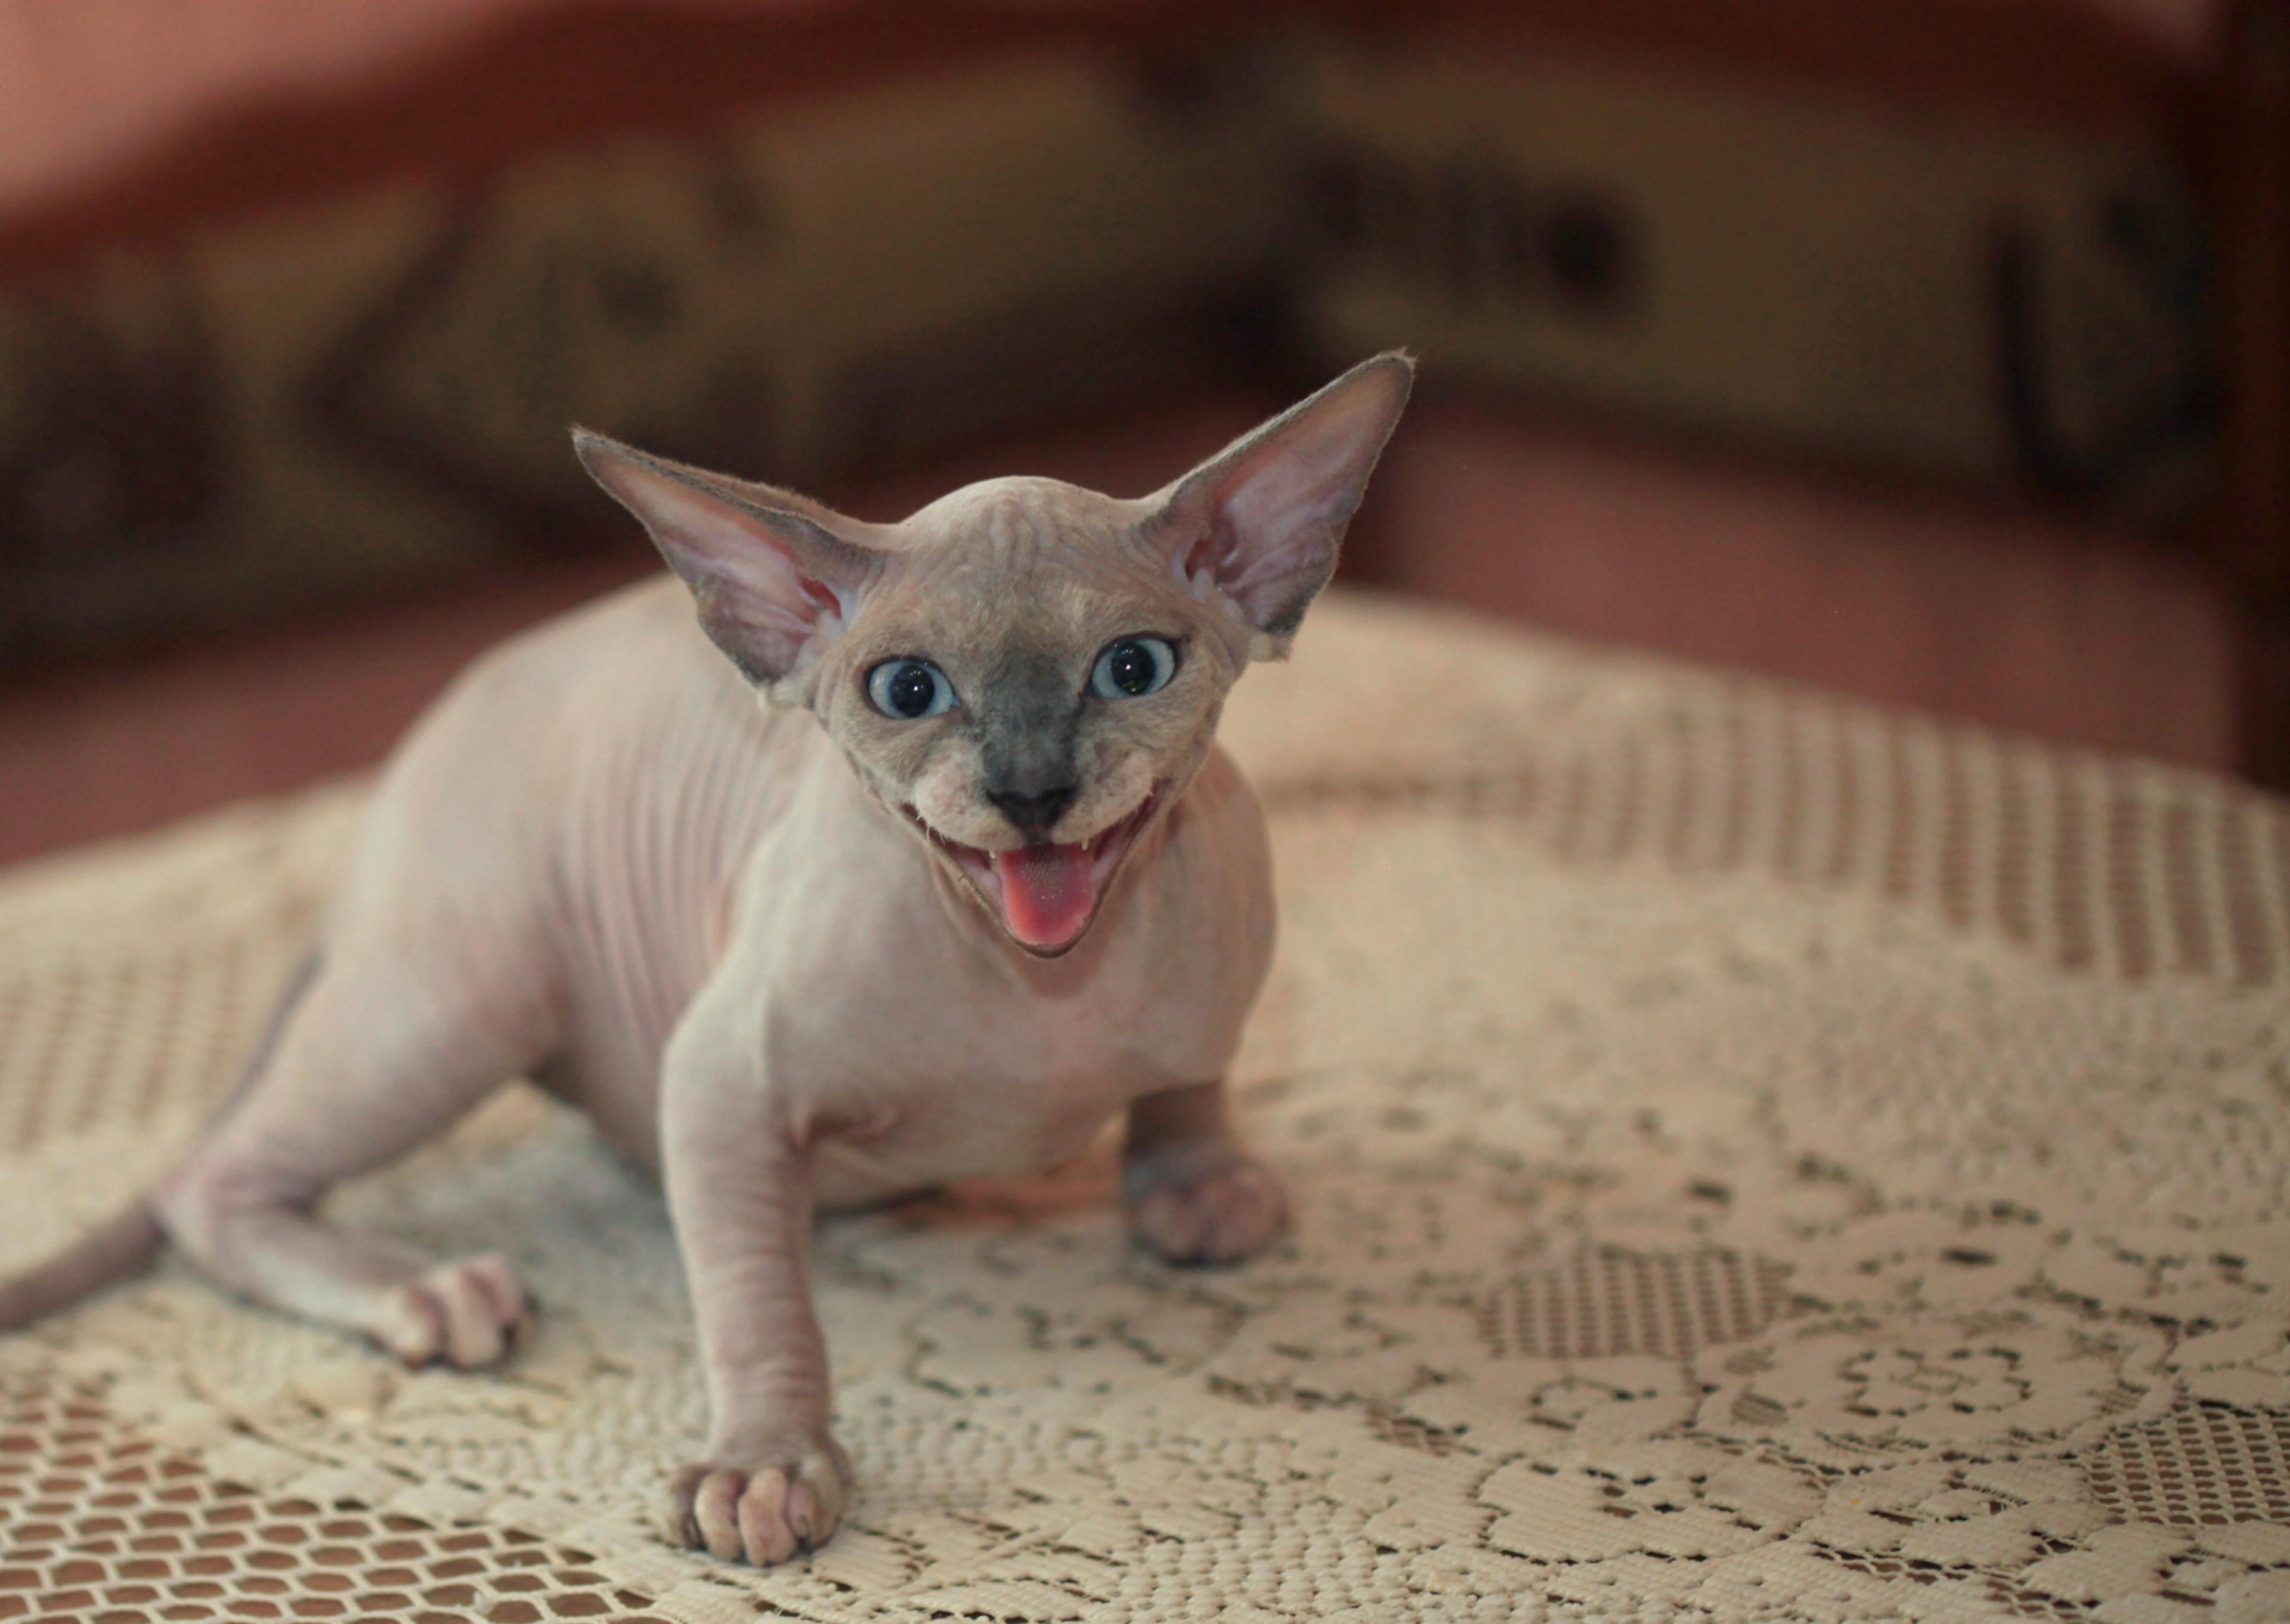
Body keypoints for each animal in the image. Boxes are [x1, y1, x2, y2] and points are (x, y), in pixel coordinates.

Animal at [0, 348, 1410, 1566]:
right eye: (908, 691)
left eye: (1134, 667)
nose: (1030, 793)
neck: (1043, 979)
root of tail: (394, 803)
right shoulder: (720, 1086)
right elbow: (754, 1301)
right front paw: (766, 1467)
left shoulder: (1215, 986)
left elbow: (1191, 1077)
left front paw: (1197, 1179)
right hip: (473, 992)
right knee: (202, 1183)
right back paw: (427, 1291)